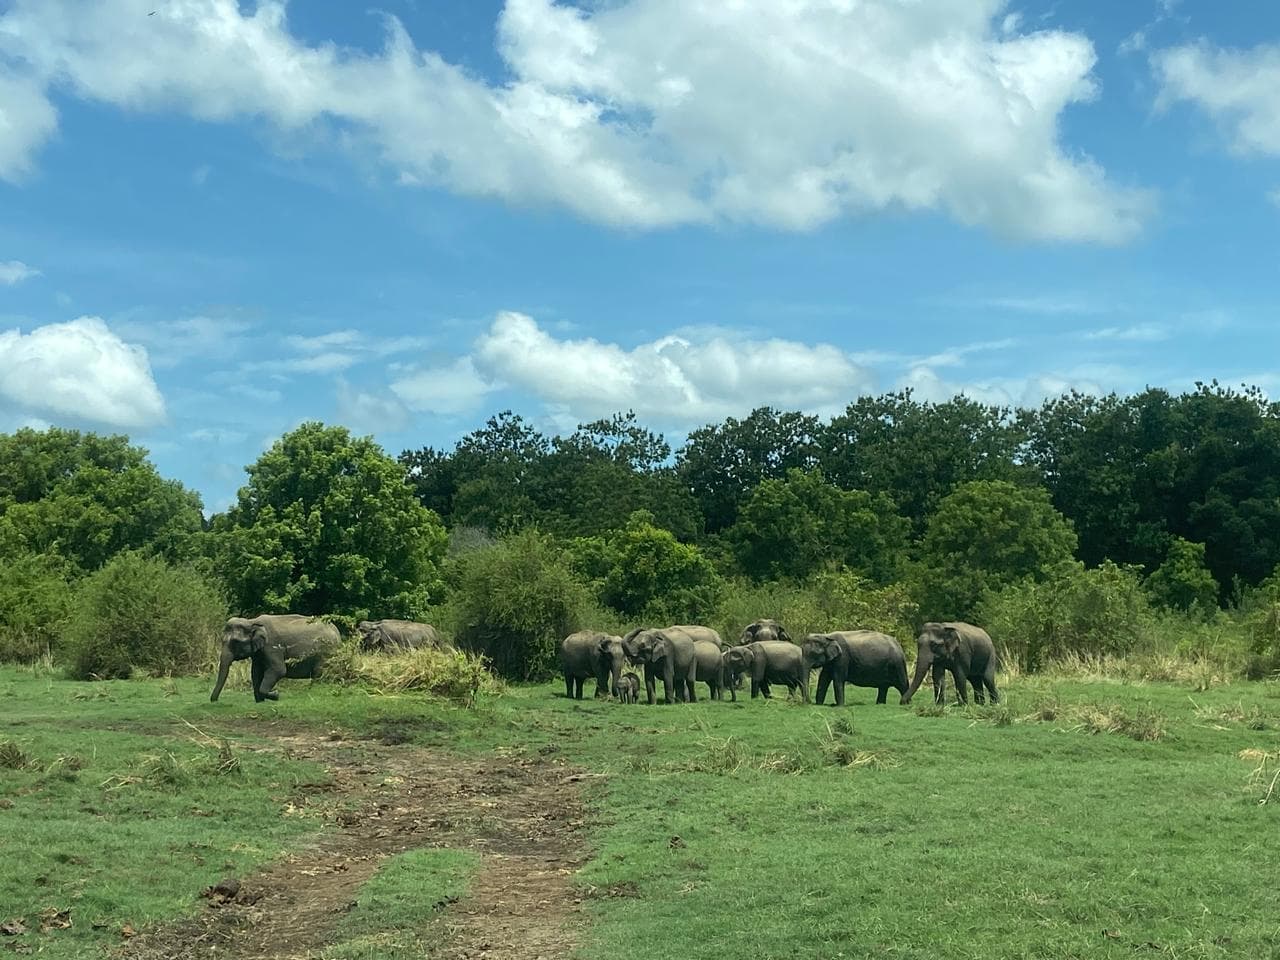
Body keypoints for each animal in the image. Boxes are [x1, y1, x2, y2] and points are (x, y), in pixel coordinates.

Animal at [210, 614, 341, 703]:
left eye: (236, 642)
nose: (214, 701)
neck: (252, 621)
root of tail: (337, 633)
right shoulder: (258, 653)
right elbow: (255, 673)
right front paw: (260, 702)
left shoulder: (271, 647)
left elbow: (279, 670)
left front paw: (276, 694)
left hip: (325, 653)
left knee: (319, 674)